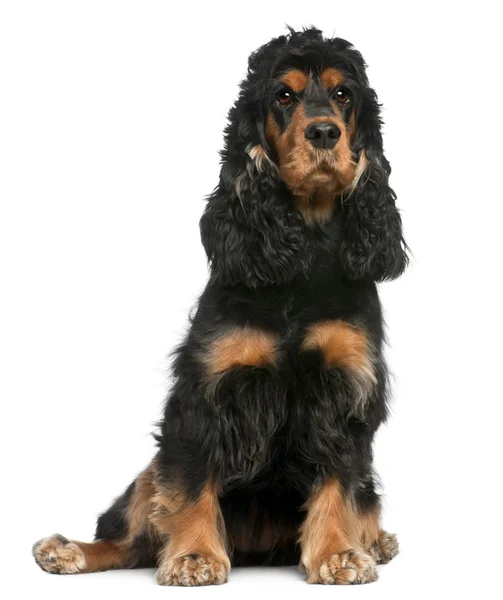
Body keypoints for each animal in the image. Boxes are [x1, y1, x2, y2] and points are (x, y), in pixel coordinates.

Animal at [32, 28, 410, 584]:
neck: (305, 245)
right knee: (129, 539)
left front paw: (338, 553)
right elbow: (192, 480)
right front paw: (194, 556)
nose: (324, 133)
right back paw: (69, 550)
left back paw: (375, 540)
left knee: (364, 499)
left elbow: (339, 481)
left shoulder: (345, 388)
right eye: (283, 95)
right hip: (149, 475)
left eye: (344, 94)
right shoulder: (208, 390)